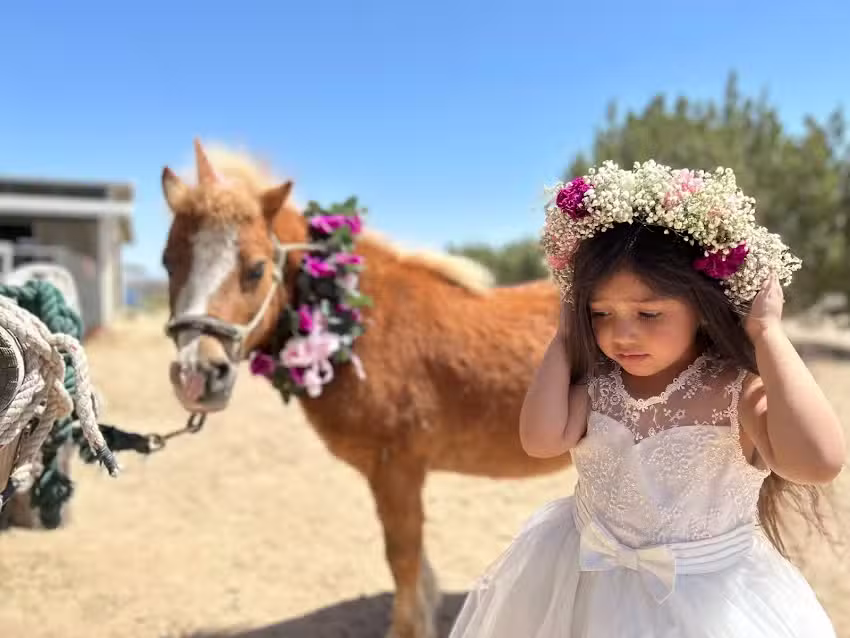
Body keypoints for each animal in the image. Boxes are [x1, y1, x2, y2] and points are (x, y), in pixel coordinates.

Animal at [159, 139, 571, 638]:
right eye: (167, 262)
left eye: (256, 269)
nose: (196, 374)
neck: (355, 319)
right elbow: (411, 562)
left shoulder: (397, 467)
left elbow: (403, 557)